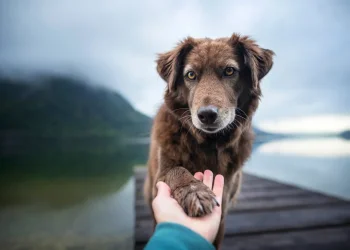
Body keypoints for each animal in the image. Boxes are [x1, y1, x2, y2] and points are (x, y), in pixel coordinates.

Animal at [144, 33, 274, 248]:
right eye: (190, 75)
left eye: (229, 71)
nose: (206, 115)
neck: (207, 143)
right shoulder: (163, 171)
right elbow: (177, 171)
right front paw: (195, 192)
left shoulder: (223, 211)